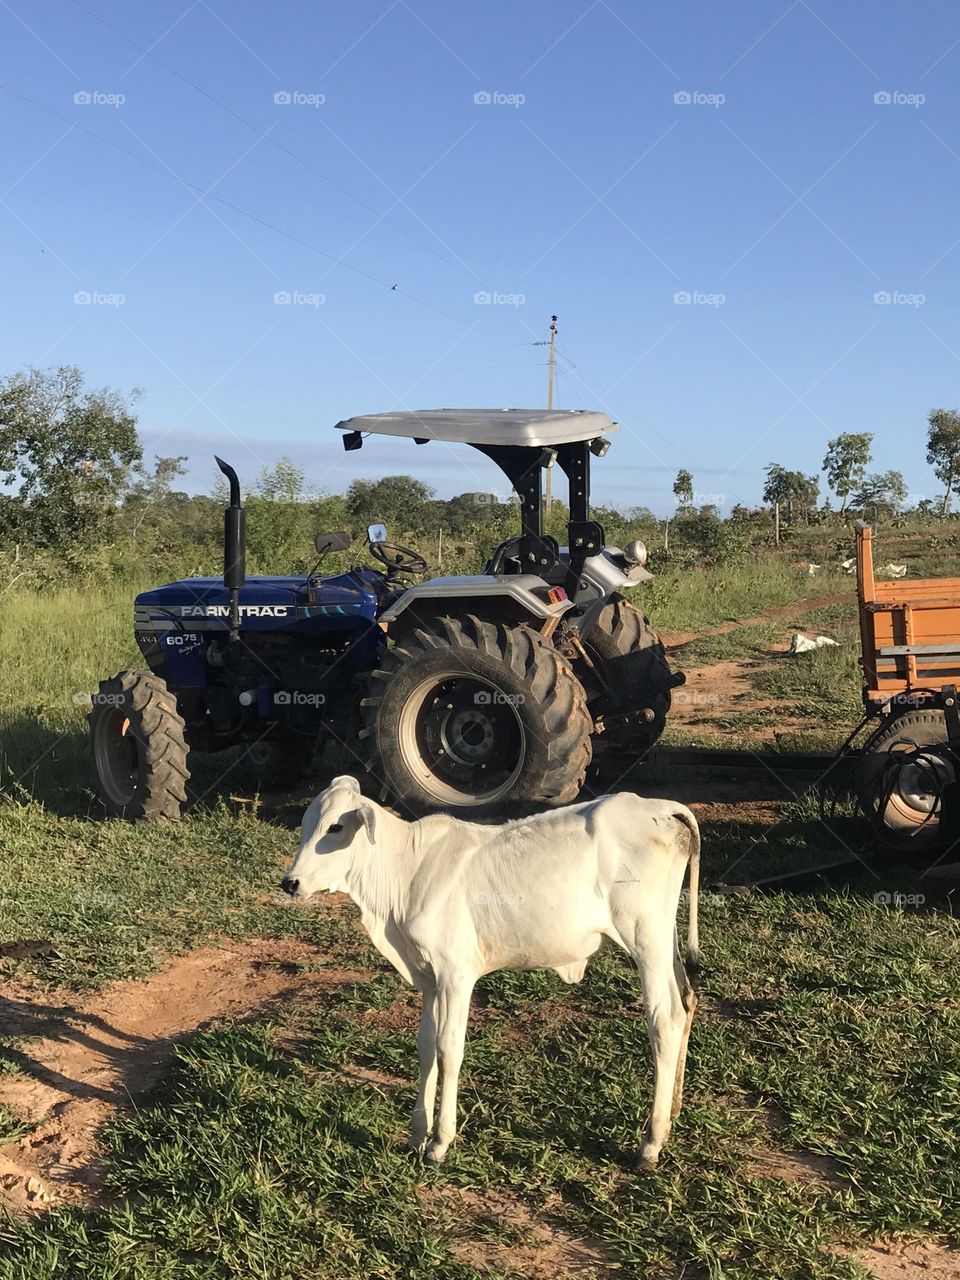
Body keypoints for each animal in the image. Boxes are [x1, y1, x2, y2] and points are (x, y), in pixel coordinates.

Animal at [281, 776, 700, 1170]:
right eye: (306, 823)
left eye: (335, 827)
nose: (290, 882)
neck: (405, 874)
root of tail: (659, 806)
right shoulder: (429, 980)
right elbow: (426, 1049)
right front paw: (416, 1135)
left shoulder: (455, 976)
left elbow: (449, 1050)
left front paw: (439, 1142)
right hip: (665, 940)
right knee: (687, 1001)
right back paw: (674, 1112)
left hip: (645, 939)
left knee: (665, 1020)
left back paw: (651, 1142)